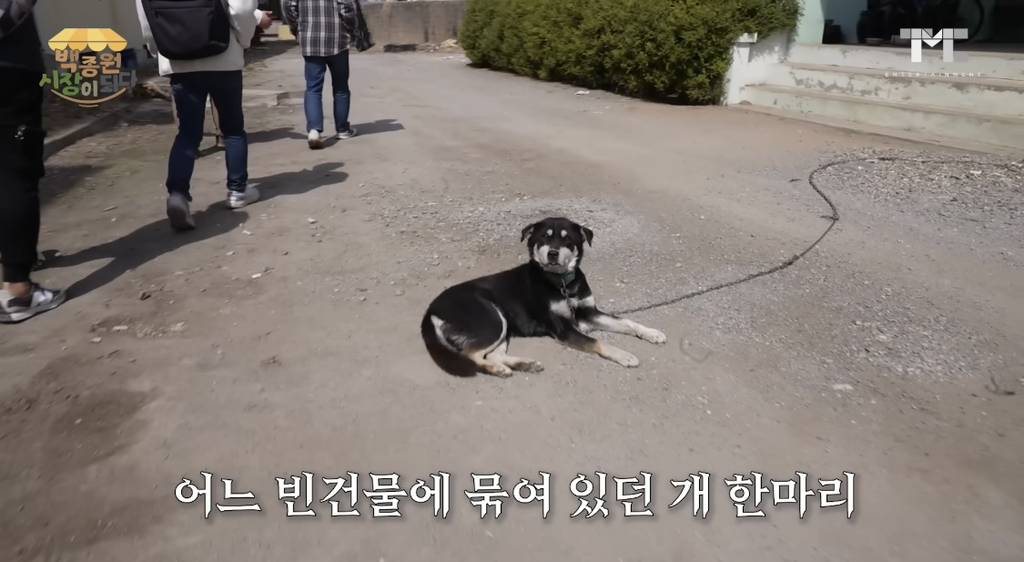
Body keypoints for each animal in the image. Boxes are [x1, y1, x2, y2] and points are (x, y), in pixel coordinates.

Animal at [419, 215, 667, 376]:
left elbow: (627, 322)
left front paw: (652, 333)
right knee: (472, 354)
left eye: (567, 239)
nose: (553, 253)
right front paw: (625, 355)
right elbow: (597, 341)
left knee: (492, 354)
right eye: (543, 238)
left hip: (503, 326)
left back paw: (523, 365)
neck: (562, 283)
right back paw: (498, 369)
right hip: (491, 318)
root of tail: (430, 311)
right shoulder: (564, 329)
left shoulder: (589, 312)